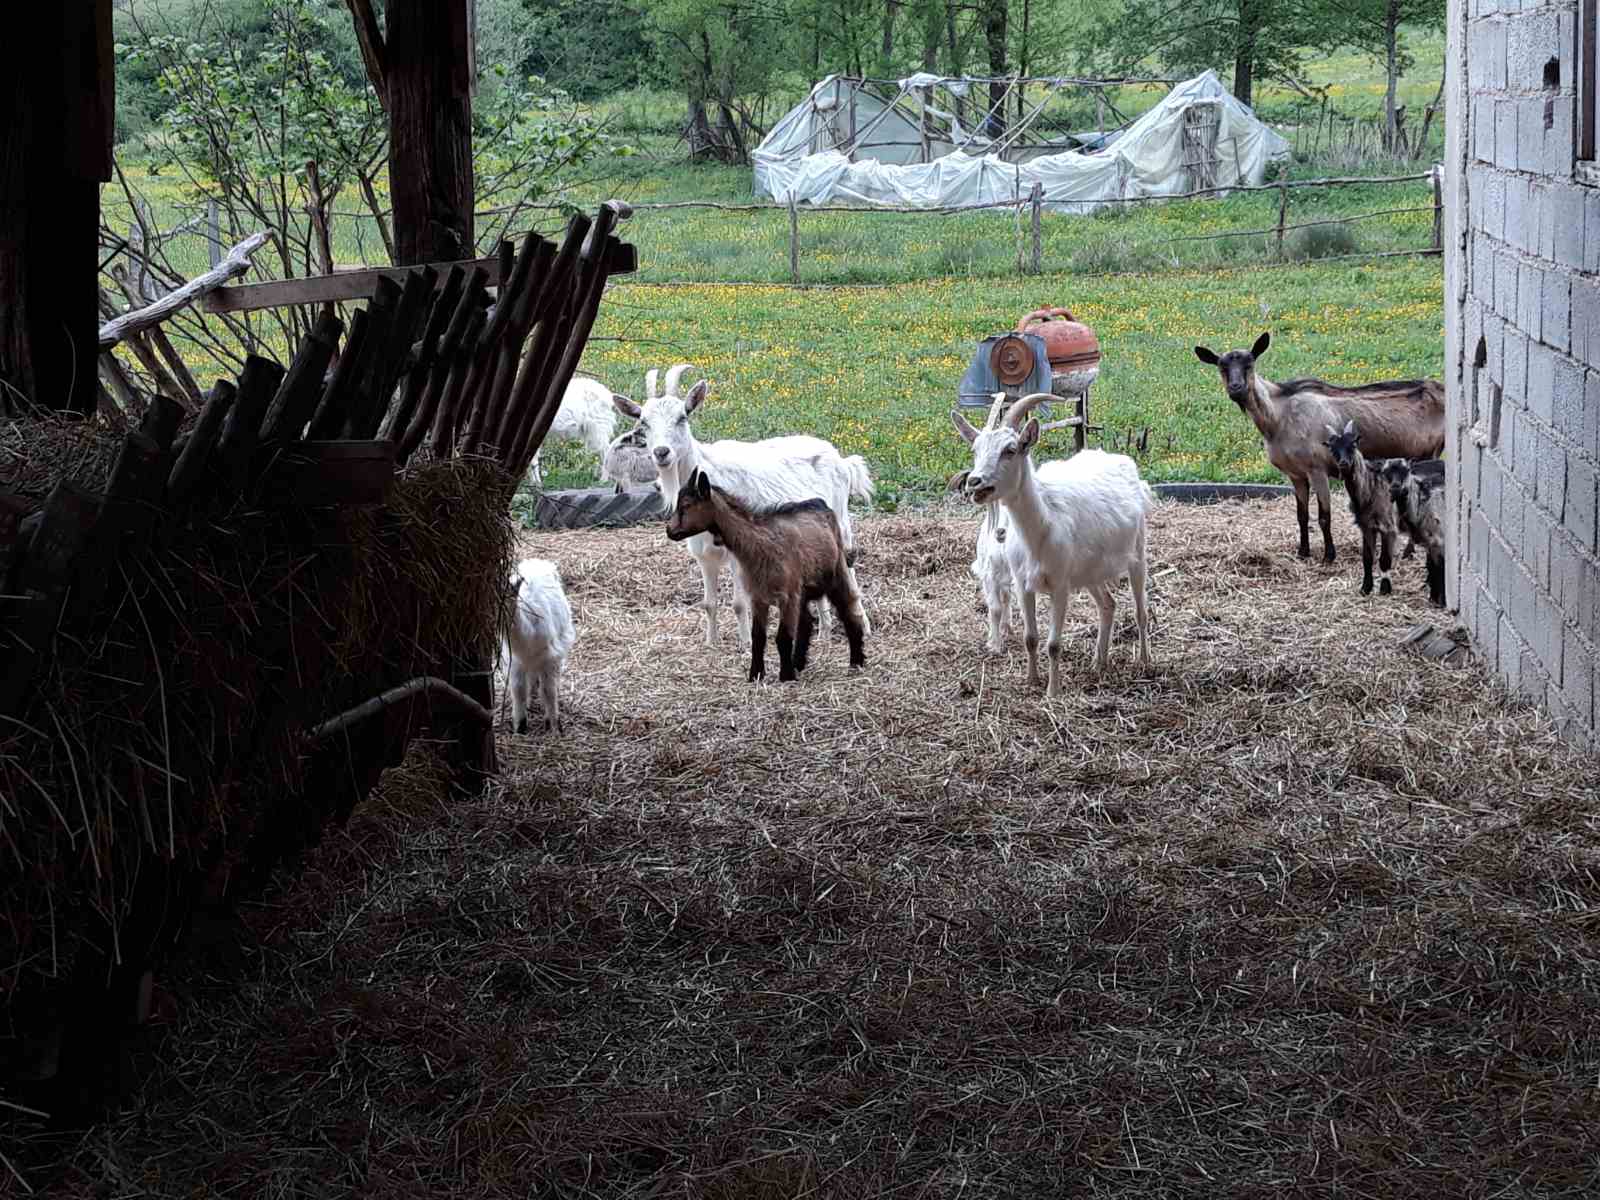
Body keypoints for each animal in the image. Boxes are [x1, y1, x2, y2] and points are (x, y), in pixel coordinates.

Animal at [502, 563, 579, 739]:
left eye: (509, 594)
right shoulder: (514, 662)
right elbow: (518, 690)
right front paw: (520, 727)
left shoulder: (550, 658)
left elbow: (548, 691)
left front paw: (554, 726)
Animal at [614, 364, 876, 649]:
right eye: (644, 423)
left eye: (682, 417)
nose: (662, 452)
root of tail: (841, 458)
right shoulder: (703, 555)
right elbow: (709, 604)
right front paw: (711, 643)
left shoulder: (737, 551)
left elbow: (739, 603)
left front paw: (745, 644)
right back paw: (825, 631)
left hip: (841, 521)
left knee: (848, 567)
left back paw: (863, 626)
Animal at [947, 395, 1152, 694]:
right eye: (975, 449)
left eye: (1010, 450)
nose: (975, 482)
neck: (1041, 529)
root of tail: (1122, 462)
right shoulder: (1023, 584)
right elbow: (1030, 637)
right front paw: (1032, 680)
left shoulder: (1060, 586)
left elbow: (1054, 644)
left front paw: (1053, 692)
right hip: (1090, 571)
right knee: (1108, 605)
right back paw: (1098, 662)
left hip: (1137, 553)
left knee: (1140, 611)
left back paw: (1145, 662)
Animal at [1196, 331, 1446, 566]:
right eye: (1222, 367)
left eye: (1249, 364)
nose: (1236, 388)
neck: (1278, 417)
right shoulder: (1296, 474)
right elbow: (1302, 516)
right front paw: (1303, 552)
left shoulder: (1317, 468)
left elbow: (1324, 516)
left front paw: (1329, 555)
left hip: (1429, 453)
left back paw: (1409, 551)